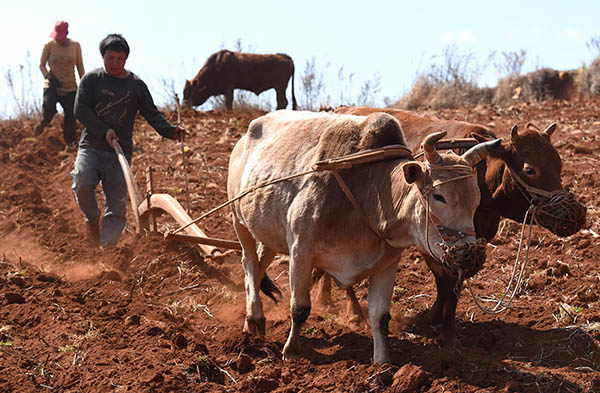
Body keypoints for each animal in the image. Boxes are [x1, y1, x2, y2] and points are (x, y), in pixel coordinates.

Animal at [328, 105, 584, 344]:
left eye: (559, 165)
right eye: (529, 169)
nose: (573, 214)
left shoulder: (470, 243)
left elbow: (455, 284)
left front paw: (439, 321)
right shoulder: (431, 242)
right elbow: (445, 281)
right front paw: (441, 328)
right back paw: (355, 314)